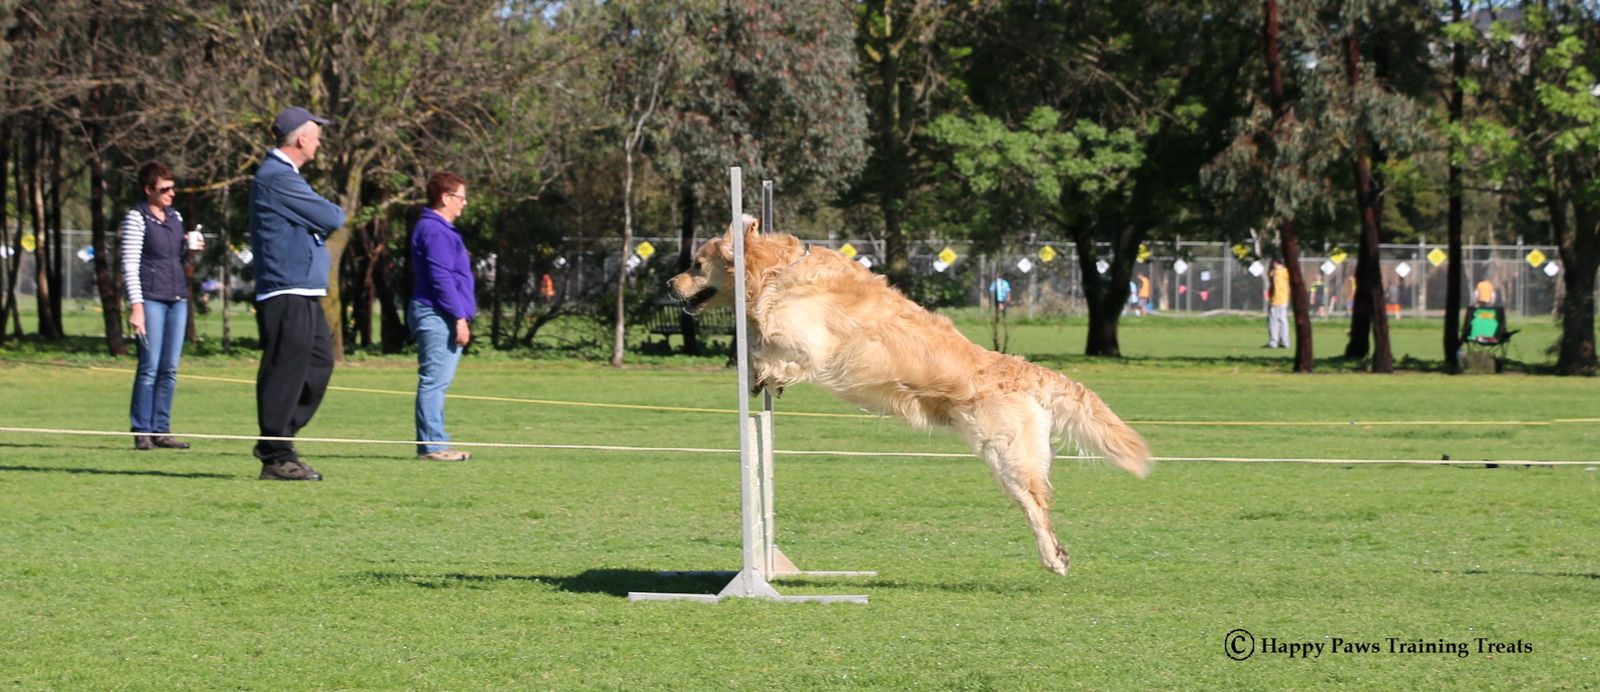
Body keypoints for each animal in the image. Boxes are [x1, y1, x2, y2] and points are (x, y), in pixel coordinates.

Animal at [667, 217, 1151, 575]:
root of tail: (1020, 368)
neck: (775, 270)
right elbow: (756, 337)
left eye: (696, 263)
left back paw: (1054, 558)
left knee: (1036, 505)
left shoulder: (808, 342)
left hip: (1009, 456)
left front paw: (765, 372)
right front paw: (761, 374)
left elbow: (765, 343)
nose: (670, 285)